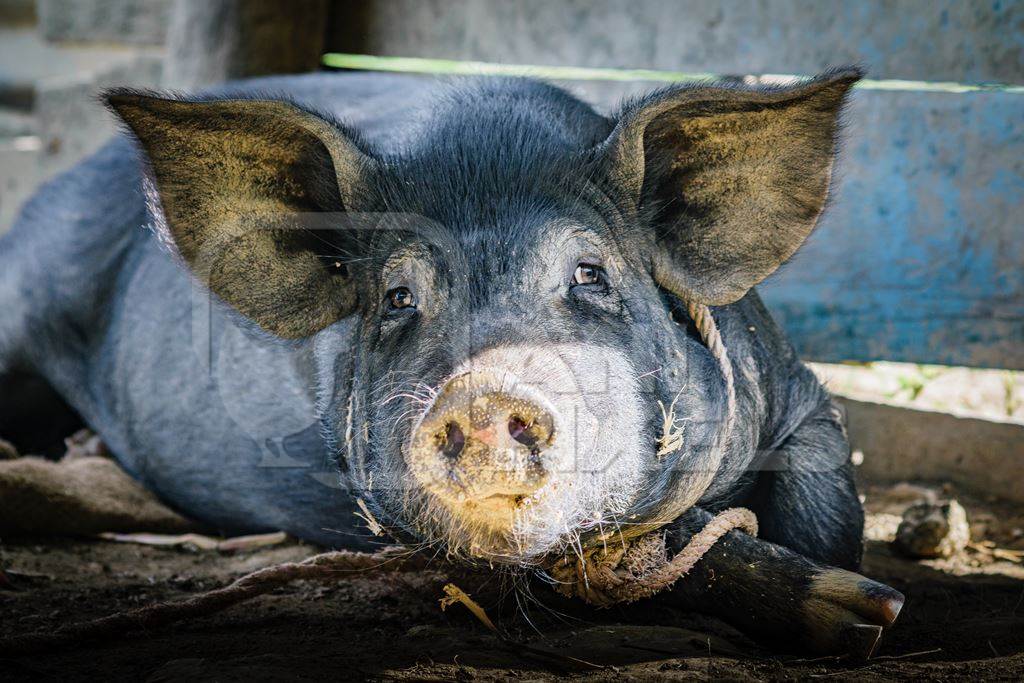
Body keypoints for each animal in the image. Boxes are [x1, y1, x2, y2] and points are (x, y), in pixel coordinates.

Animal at [0, 69, 897, 655]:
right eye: (398, 295)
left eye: (591, 273)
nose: (481, 393)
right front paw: (861, 615)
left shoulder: (799, 392)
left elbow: (824, 498)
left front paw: (877, 615)